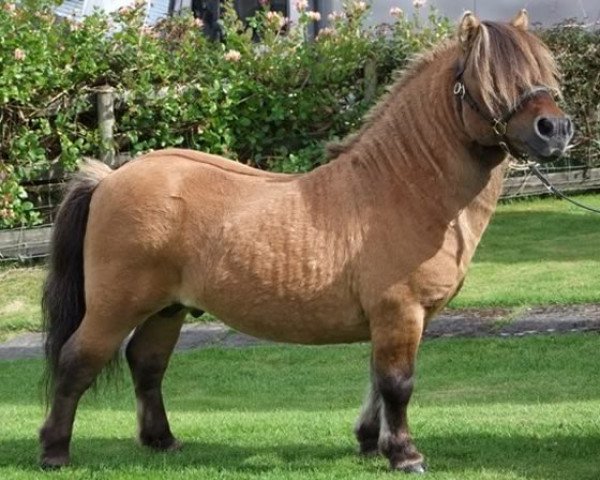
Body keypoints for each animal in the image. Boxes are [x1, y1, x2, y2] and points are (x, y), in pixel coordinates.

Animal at [38, 10, 572, 472]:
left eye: (543, 71)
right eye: (493, 79)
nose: (556, 129)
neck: (401, 185)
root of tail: (110, 177)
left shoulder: (391, 320)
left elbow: (377, 381)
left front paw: (370, 442)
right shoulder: (400, 312)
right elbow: (397, 384)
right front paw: (405, 454)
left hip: (167, 309)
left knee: (147, 364)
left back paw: (162, 440)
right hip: (115, 307)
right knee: (77, 361)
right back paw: (54, 451)